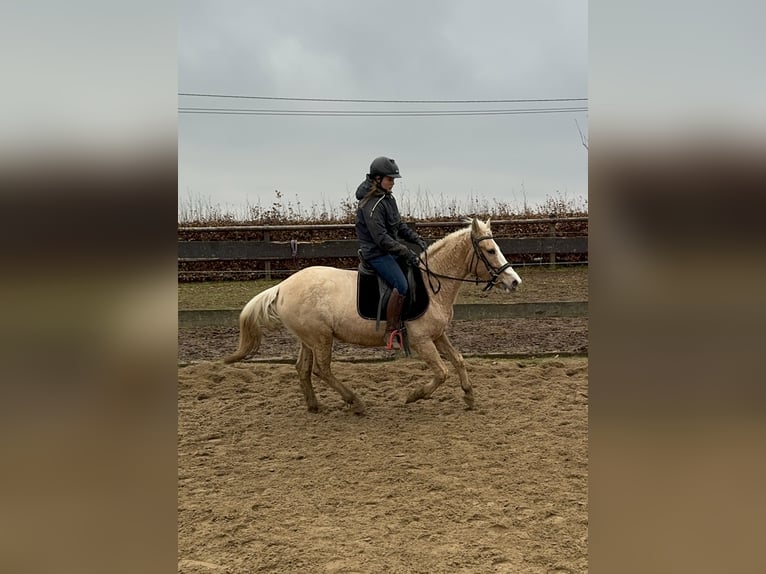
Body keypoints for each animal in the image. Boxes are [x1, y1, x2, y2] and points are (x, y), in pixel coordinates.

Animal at [224, 219, 520, 414]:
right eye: (491, 251)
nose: (514, 281)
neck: (431, 284)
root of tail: (283, 286)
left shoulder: (438, 335)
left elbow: (458, 360)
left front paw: (469, 396)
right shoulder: (422, 341)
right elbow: (442, 372)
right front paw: (413, 396)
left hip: (308, 339)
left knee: (303, 368)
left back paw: (314, 405)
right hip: (321, 338)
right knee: (322, 369)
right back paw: (356, 402)